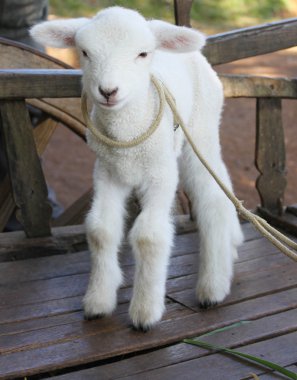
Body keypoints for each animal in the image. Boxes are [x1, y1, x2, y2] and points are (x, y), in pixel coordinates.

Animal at [30, 6, 243, 332]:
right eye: (84, 52)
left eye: (142, 54)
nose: (108, 91)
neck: (126, 140)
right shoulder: (106, 172)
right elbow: (100, 230)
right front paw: (98, 301)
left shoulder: (161, 175)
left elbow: (148, 236)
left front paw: (145, 312)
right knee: (223, 183)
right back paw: (231, 246)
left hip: (200, 129)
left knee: (214, 198)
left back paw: (213, 287)